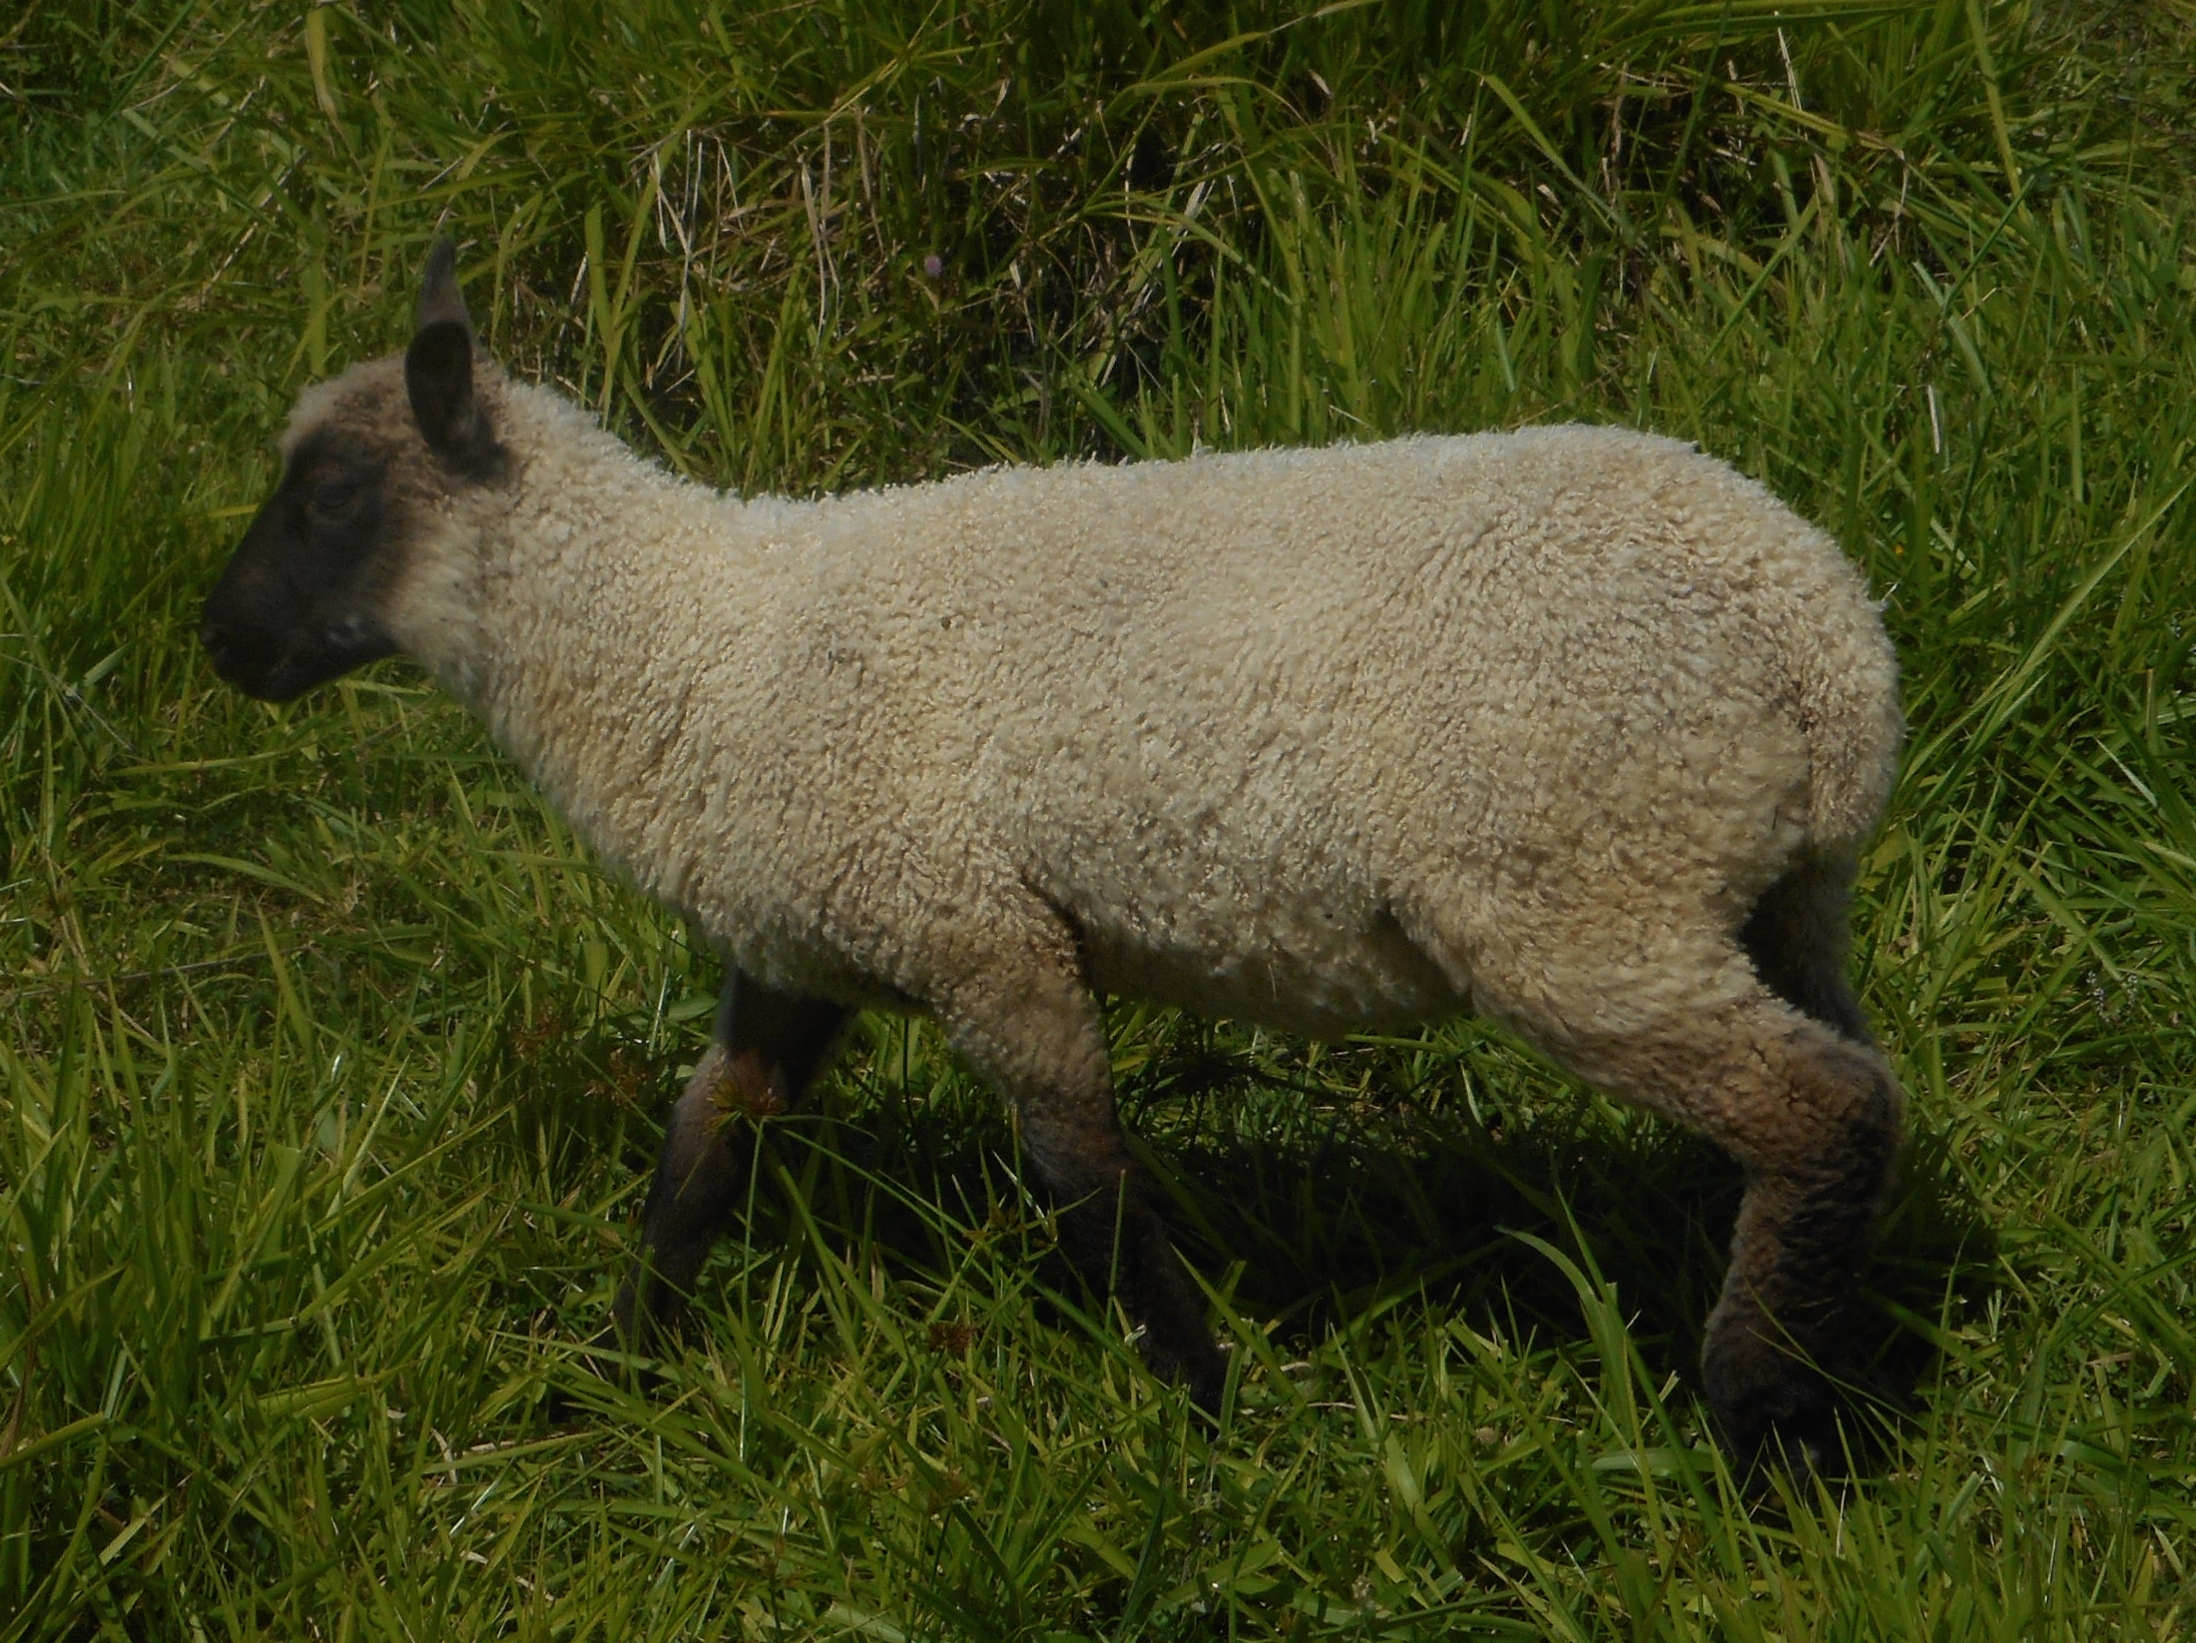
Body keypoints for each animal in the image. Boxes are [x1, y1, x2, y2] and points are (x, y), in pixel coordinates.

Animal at [214, 240, 1914, 1476]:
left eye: (331, 497)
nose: (218, 644)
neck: (699, 650)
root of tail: (1828, 640)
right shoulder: (802, 943)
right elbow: (704, 1144)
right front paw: (620, 1372)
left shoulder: (973, 921)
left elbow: (1078, 1173)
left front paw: (1208, 1407)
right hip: (1765, 895)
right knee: (1862, 1095)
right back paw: (1836, 1357)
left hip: (1575, 888)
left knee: (1824, 1108)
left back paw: (1762, 1419)